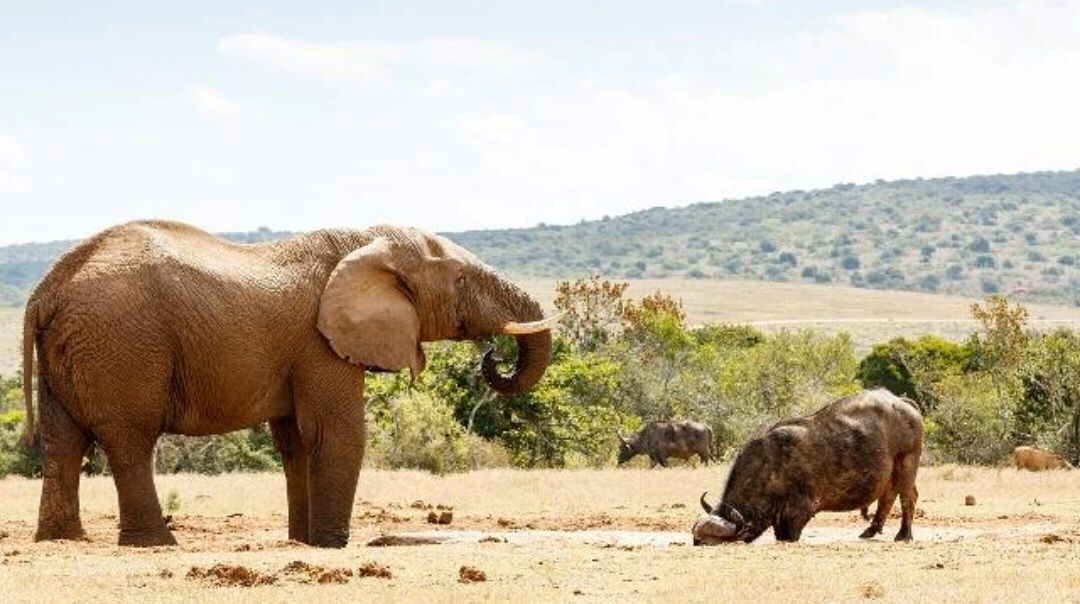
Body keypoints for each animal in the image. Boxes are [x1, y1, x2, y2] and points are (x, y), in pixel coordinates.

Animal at [24, 221, 557, 548]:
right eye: (462, 280)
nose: (492, 355)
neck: (367, 240)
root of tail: (46, 288)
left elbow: (296, 441)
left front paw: (302, 541)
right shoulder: (320, 342)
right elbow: (336, 432)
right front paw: (331, 545)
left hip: (74, 350)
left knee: (62, 441)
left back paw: (62, 539)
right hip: (123, 344)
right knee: (130, 441)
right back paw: (157, 544)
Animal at [691, 388, 920, 546]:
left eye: (711, 542)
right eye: (696, 540)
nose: (697, 543)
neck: (771, 467)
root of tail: (902, 402)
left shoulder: (799, 511)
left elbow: (790, 535)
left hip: (907, 464)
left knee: (907, 498)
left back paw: (903, 535)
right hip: (891, 474)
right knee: (888, 497)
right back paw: (871, 530)